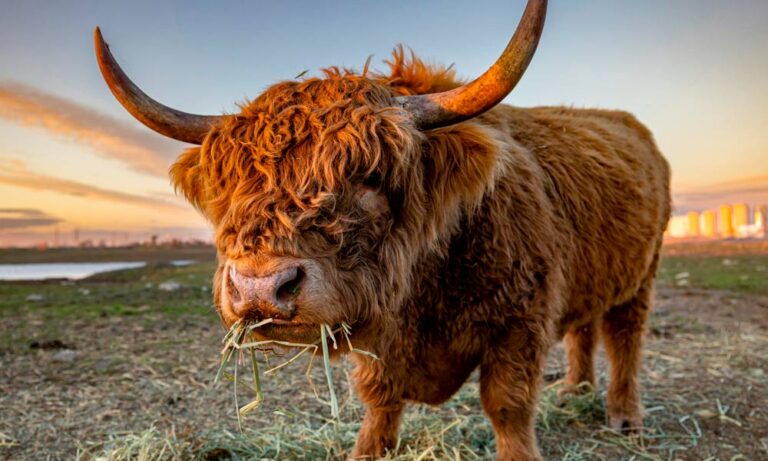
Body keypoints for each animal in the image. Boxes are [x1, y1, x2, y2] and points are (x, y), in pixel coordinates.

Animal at [94, 1, 671, 459]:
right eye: (232, 184)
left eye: (370, 176)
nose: (259, 288)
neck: (426, 283)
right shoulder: (382, 346)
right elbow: (380, 401)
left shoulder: (519, 324)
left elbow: (507, 407)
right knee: (583, 328)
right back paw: (575, 389)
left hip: (643, 276)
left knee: (624, 338)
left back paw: (624, 415)